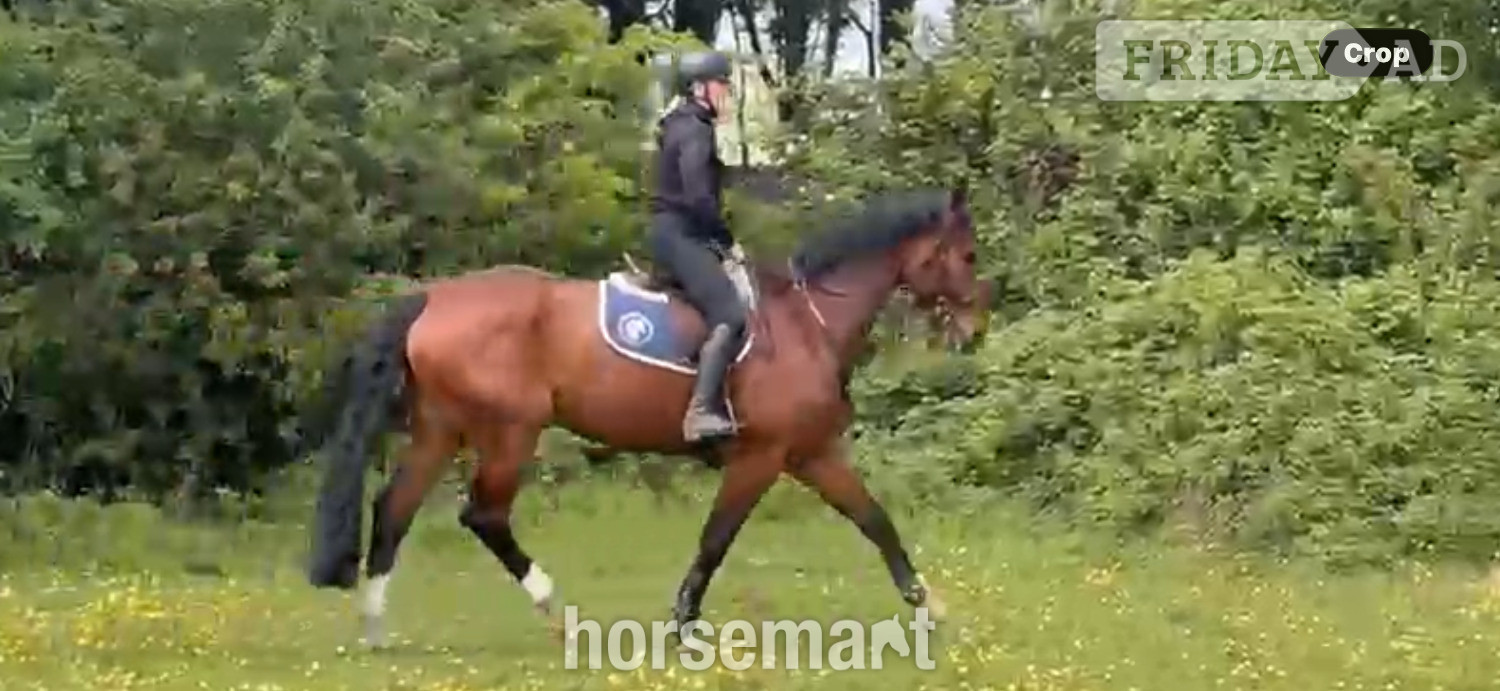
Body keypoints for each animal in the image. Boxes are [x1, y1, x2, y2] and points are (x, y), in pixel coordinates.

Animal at [302, 186, 988, 647]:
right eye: (968, 255)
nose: (976, 329)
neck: (806, 324)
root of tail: (432, 299)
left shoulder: (811, 453)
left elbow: (875, 521)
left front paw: (928, 606)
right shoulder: (762, 457)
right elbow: (716, 538)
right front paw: (683, 624)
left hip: (442, 429)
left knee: (394, 509)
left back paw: (375, 627)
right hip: (510, 432)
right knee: (484, 515)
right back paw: (555, 609)